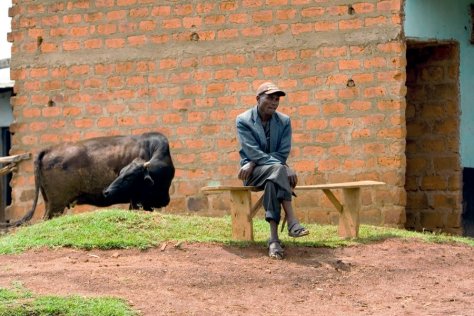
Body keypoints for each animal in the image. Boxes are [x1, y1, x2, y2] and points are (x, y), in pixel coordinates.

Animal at [4, 132, 175, 226]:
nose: (106, 191)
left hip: (50, 202)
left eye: (129, 176)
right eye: (122, 174)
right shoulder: (138, 201)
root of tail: (49, 149)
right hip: (56, 204)